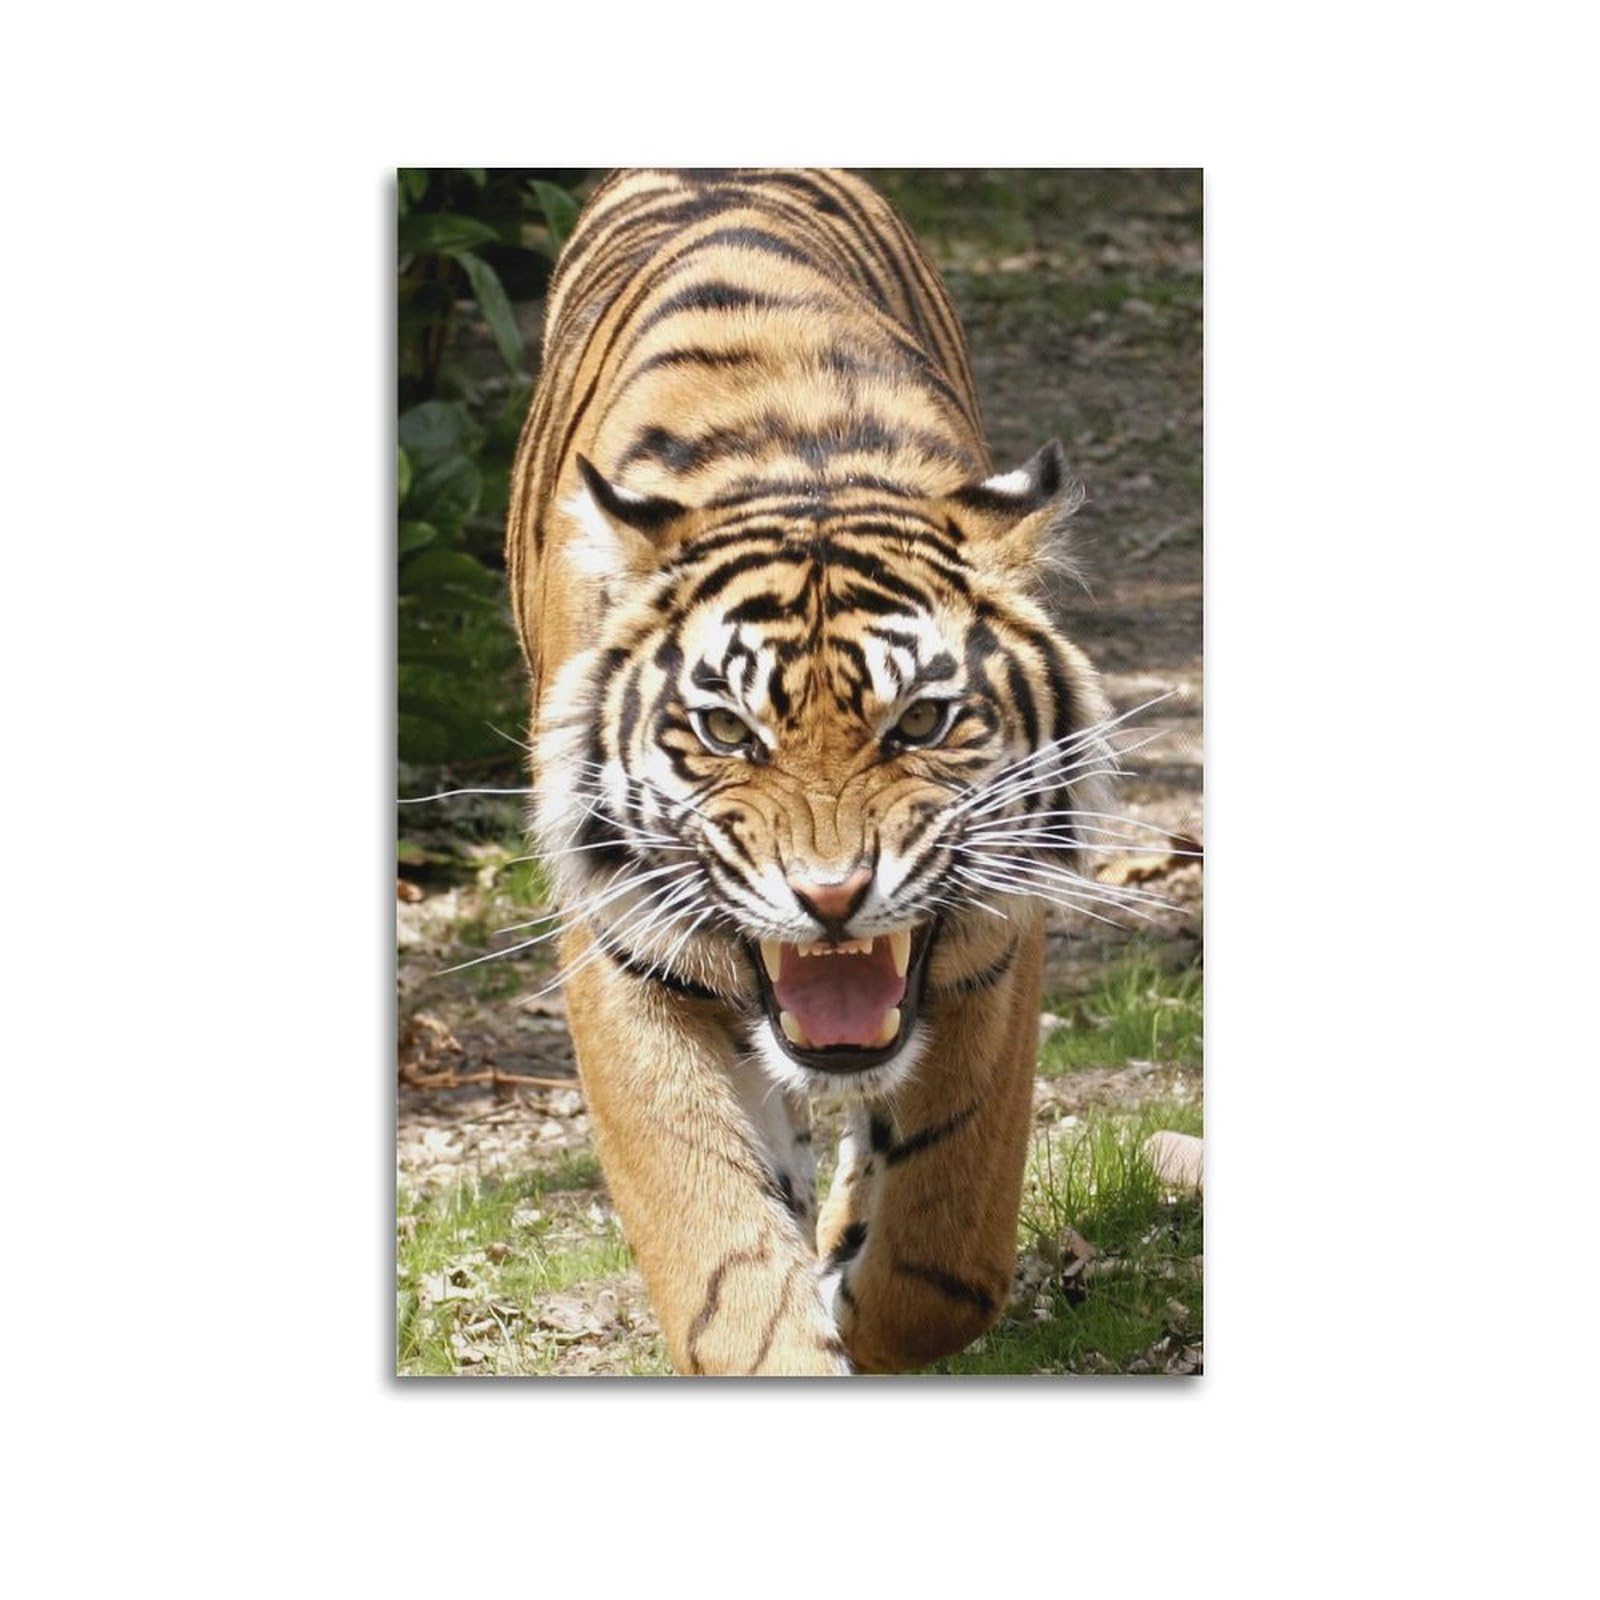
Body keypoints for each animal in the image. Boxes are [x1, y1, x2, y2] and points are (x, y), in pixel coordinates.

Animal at [505, 168, 1116, 1375]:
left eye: (921, 720)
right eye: (727, 731)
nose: (832, 898)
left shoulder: (994, 937)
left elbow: (942, 1251)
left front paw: (858, 1289)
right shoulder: (617, 943)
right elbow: (724, 1266)